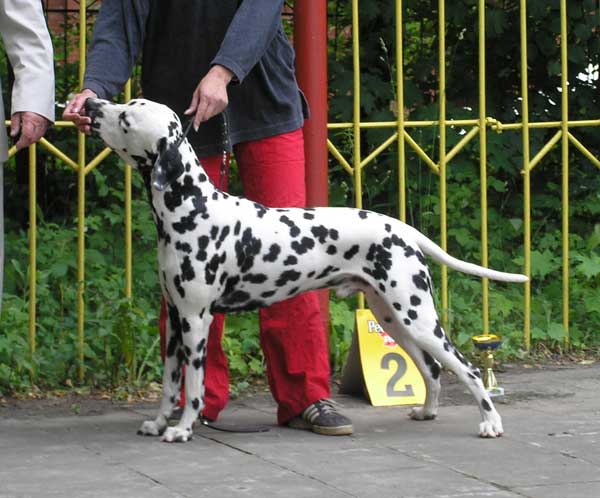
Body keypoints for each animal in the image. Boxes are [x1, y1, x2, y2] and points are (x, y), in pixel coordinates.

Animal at [85, 97, 528, 444]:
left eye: (126, 118)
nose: (91, 106)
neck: (192, 209)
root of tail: (401, 228)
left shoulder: (196, 321)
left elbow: (192, 387)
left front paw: (183, 428)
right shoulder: (176, 321)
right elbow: (169, 385)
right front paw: (160, 422)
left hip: (418, 319)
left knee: (469, 369)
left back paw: (491, 423)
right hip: (394, 319)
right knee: (432, 370)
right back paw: (426, 412)